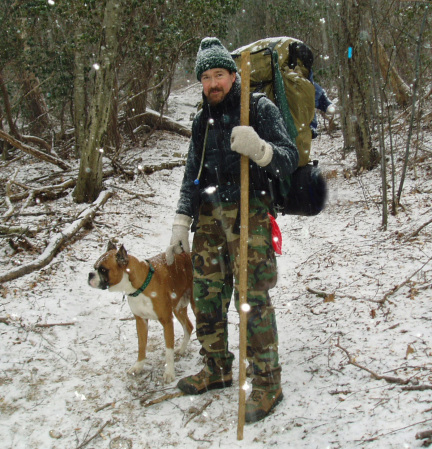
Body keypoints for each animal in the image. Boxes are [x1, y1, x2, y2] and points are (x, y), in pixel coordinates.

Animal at [88, 242, 196, 382]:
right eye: (95, 267)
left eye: (103, 270)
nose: (90, 274)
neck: (140, 286)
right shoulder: (140, 321)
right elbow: (141, 345)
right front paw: (138, 366)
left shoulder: (167, 321)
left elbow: (168, 350)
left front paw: (169, 372)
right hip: (178, 308)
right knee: (188, 326)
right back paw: (182, 349)